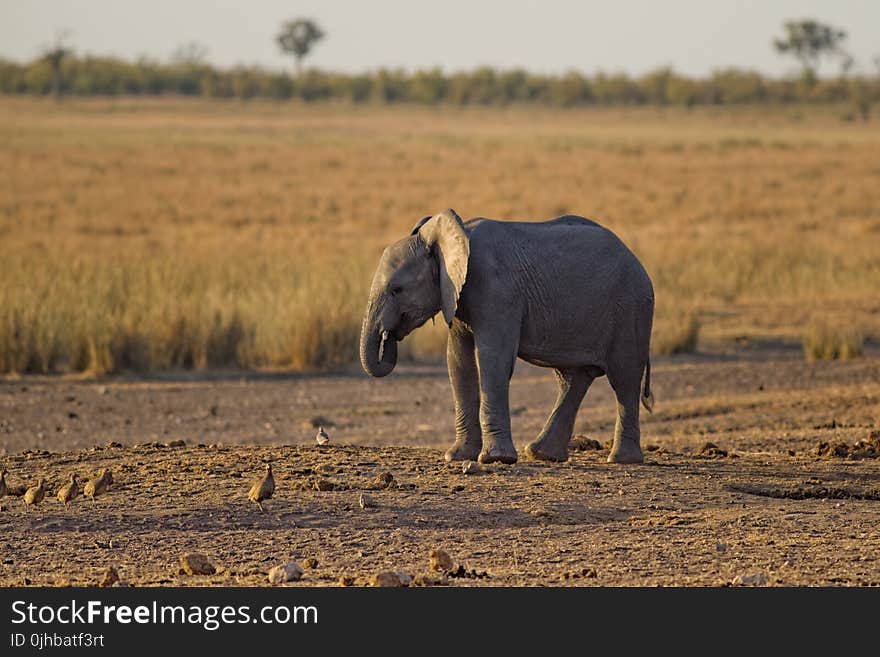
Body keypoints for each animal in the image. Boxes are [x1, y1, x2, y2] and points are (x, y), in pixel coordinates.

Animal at [358, 209, 652, 462]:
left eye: (397, 289)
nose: (388, 337)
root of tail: (638, 262)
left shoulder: (495, 289)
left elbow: (492, 360)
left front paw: (495, 459)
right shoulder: (457, 295)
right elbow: (458, 362)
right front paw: (457, 456)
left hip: (631, 309)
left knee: (624, 378)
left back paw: (621, 459)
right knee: (573, 379)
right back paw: (541, 454)